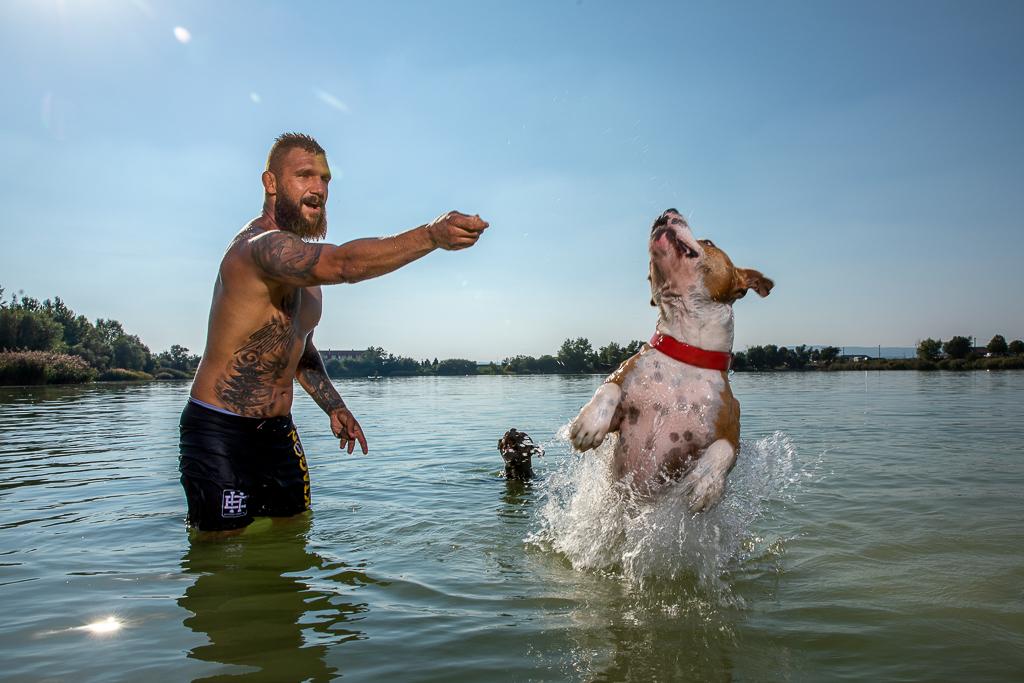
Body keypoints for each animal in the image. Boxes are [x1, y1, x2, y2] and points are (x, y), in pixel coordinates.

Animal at [565, 208, 770, 511]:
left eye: (709, 242)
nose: (667, 212)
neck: (685, 353)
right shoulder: (622, 409)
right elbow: (610, 386)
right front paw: (589, 422)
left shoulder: (730, 428)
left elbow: (726, 448)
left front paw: (706, 482)